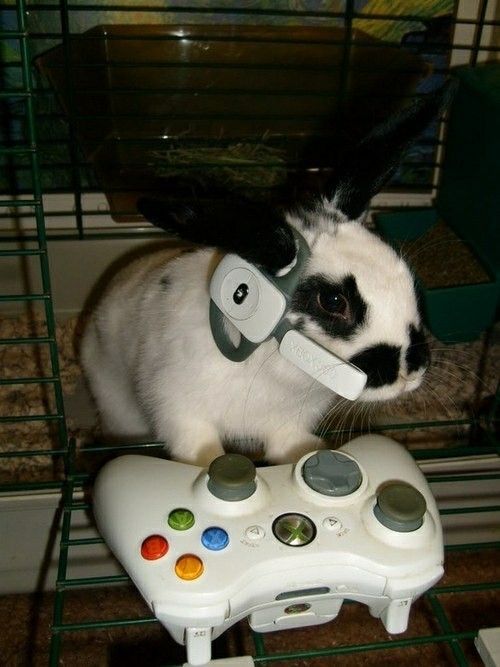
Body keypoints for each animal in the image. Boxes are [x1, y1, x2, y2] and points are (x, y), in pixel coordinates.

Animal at [80, 86, 452, 468]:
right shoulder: (181, 414)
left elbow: (293, 449)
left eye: (406, 275)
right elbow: (202, 451)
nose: (411, 371)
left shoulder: (287, 426)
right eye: (333, 301)